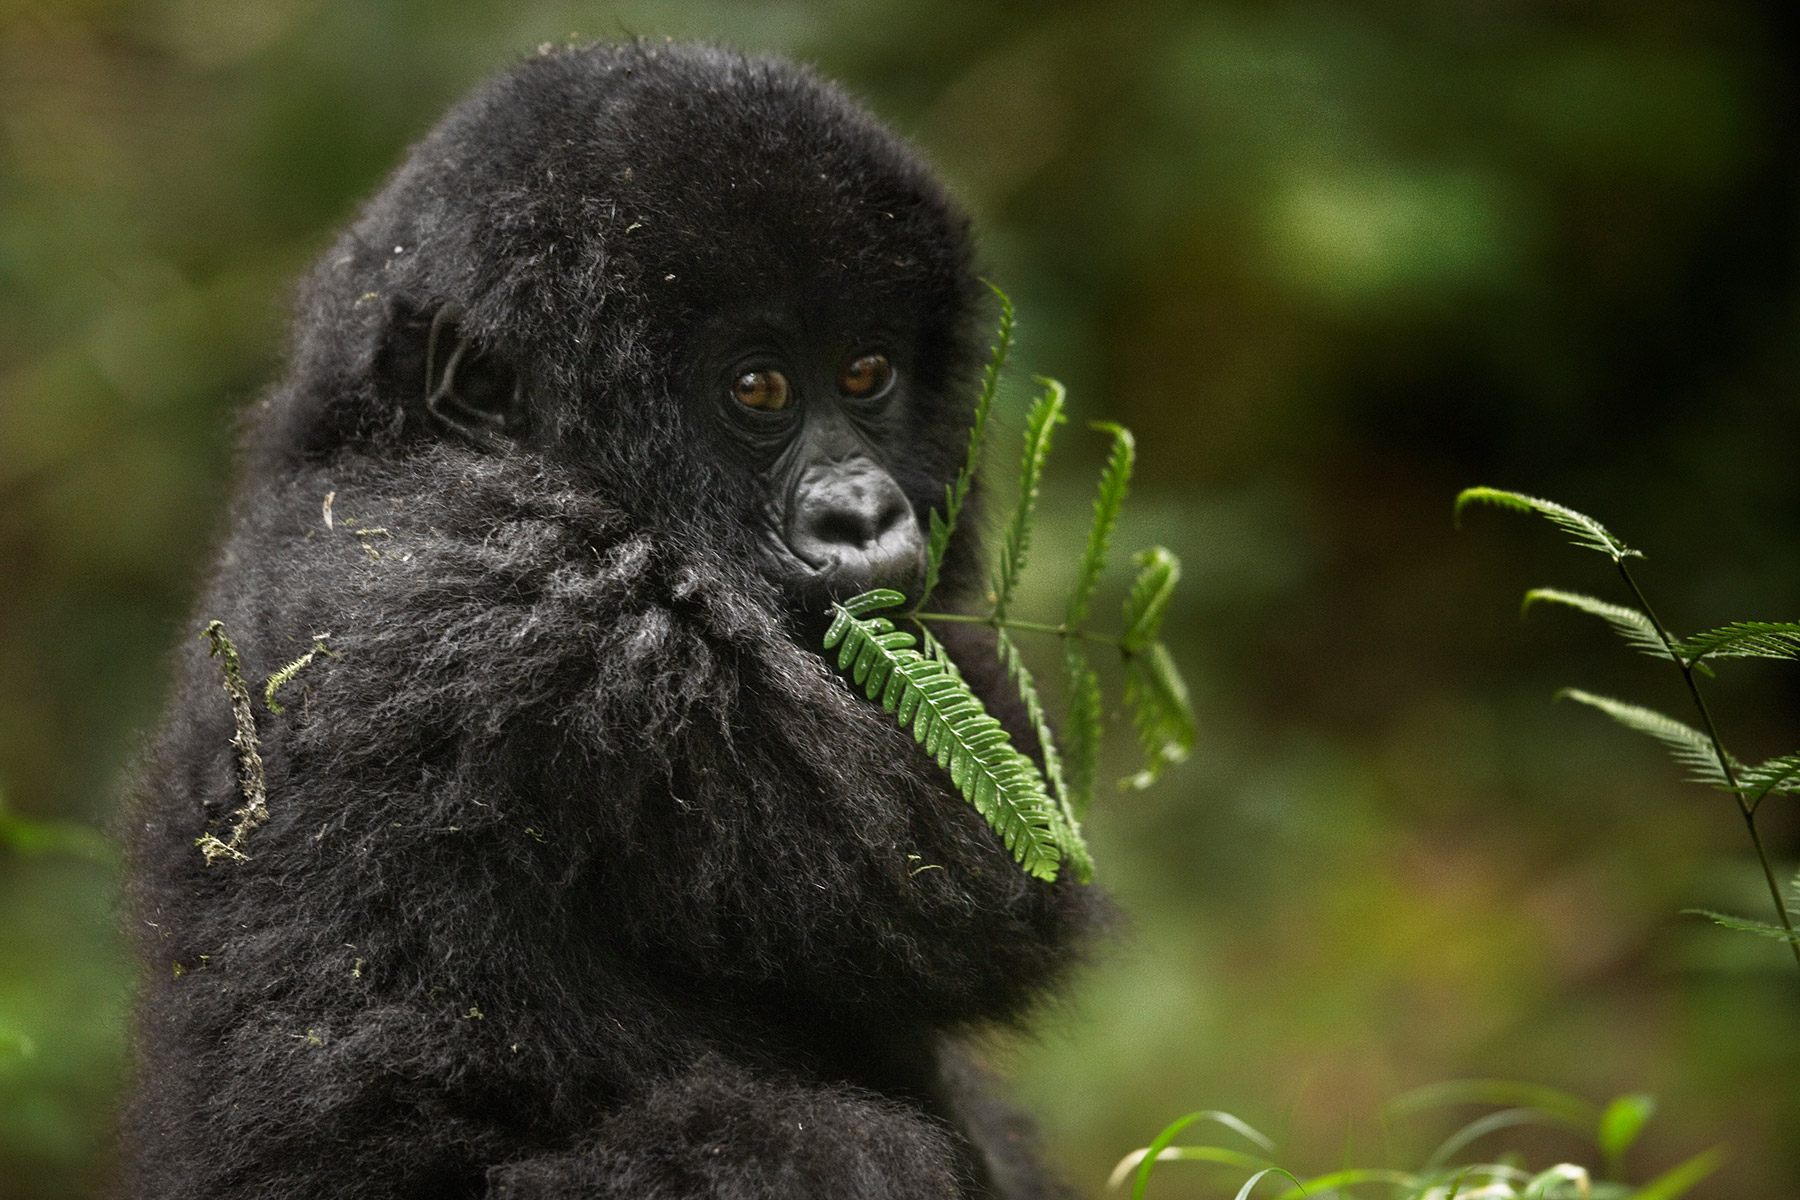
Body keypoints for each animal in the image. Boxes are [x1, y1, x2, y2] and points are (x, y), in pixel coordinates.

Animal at [123, 39, 1094, 1200]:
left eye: (867, 372)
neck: (392, 443)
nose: (864, 516)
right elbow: (993, 889)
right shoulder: (594, 625)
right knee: (826, 1148)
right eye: (758, 388)